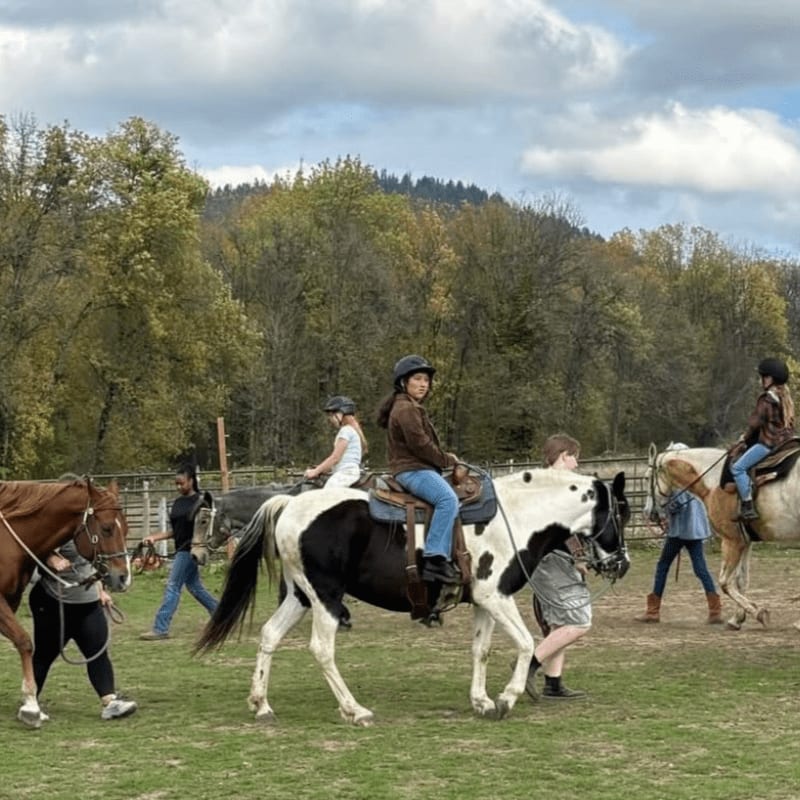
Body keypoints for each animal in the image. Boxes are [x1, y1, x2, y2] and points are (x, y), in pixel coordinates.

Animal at [0, 478, 130, 727]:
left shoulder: (11, 600)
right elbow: (24, 642)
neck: (6, 541)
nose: (123, 577)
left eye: (127, 529)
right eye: (107, 528)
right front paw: (31, 707)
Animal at [195, 468, 630, 725]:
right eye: (621, 512)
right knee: (321, 648)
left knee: (269, 635)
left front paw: (482, 701)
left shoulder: (485, 603)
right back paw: (355, 710)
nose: (621, 563)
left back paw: (261, 704)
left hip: (301, 595)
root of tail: (290, 505)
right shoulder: (497, 597)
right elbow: (525, 643)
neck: (516, 516)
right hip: (326, 597)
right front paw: (507, 698)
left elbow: (481, 651)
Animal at [643, 443, 800, 630]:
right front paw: (737, 619)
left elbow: (724, 582)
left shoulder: (731, 541)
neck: (714, 482)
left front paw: (759, 613)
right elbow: (741, 581)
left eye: (646, 478)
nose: (649, 514)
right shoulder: (745, 542)